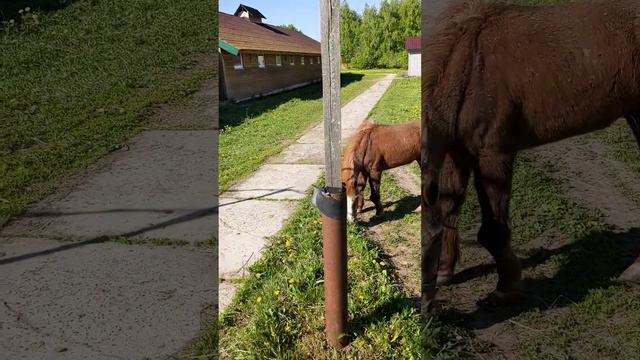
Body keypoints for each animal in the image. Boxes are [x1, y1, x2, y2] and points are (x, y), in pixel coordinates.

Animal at [418, 0, 640, 314]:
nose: (425, 313)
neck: (463, 65)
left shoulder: (492, 155)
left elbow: (492, 231)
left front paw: (506, 289)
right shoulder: (457, 154)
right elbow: (450, 208)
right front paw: (447, 271)